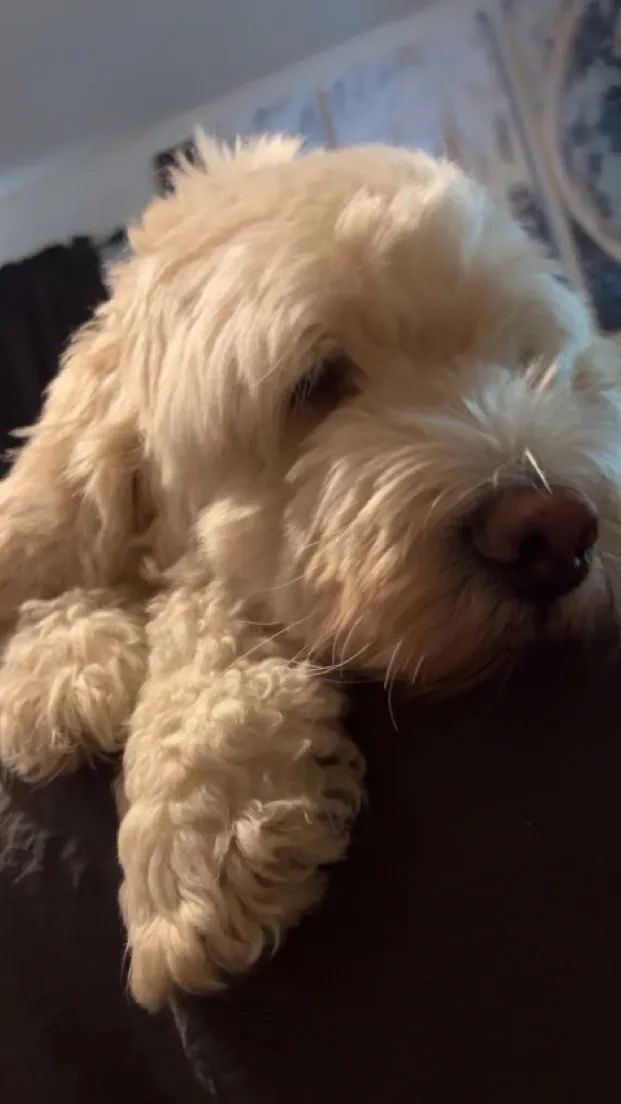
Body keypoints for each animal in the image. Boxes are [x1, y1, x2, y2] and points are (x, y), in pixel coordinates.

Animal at [0, 135, 620, 1011]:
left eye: (522, 359)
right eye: (314, 383)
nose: (553, 534)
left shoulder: (219, 587)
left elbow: (208, 601)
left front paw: (205, 822)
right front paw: (63, 665)